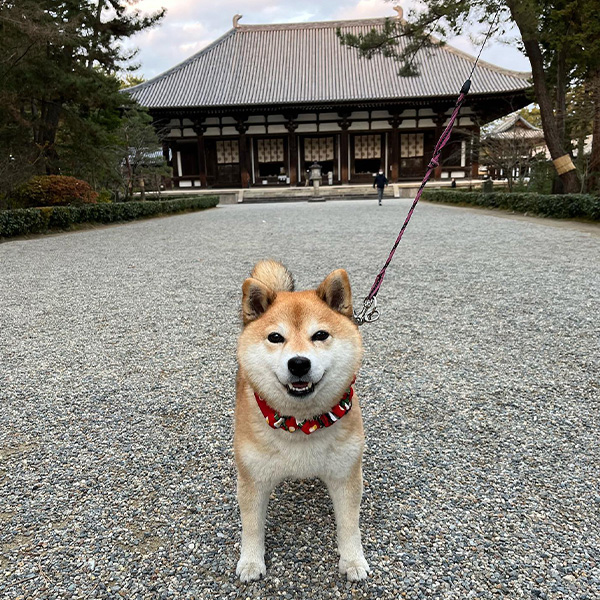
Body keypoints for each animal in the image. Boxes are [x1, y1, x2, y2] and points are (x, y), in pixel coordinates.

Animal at [233, 262, 366, 580]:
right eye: (275, 337)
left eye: (320, 335)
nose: (298, 363)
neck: (301, 423)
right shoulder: (253, 478)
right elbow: (251, 526)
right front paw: (251, 562)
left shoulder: (346, 474)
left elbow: (349, 525)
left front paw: (353, 561)